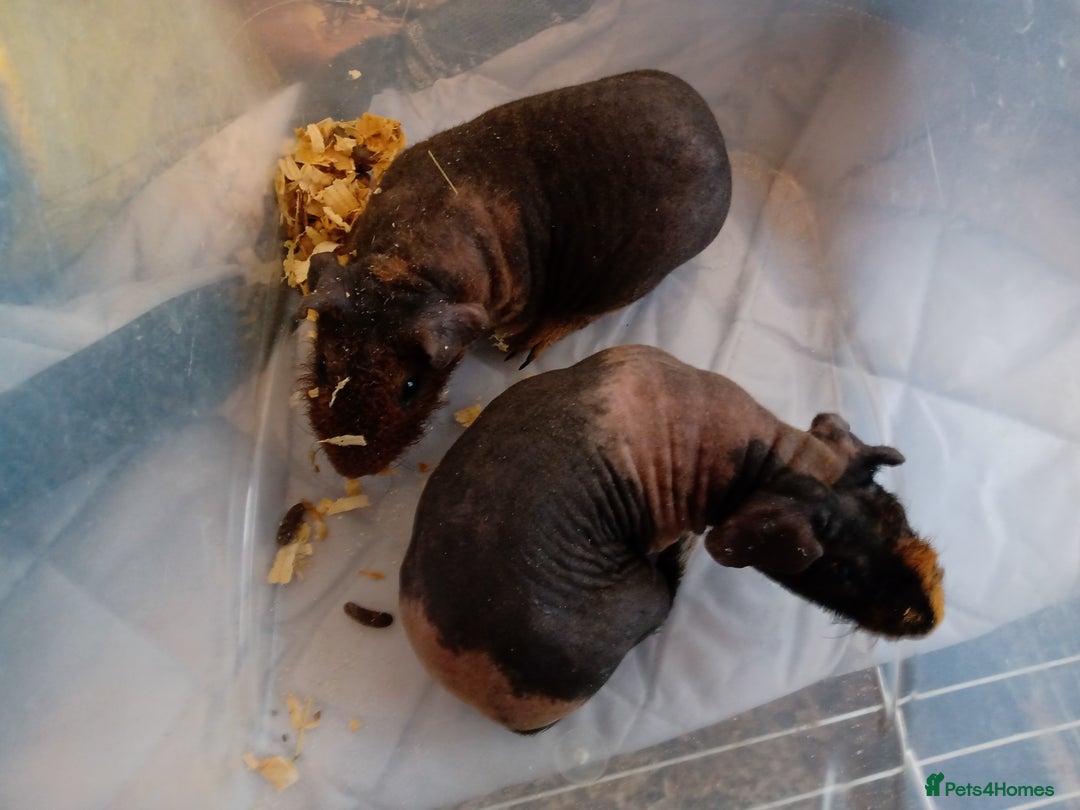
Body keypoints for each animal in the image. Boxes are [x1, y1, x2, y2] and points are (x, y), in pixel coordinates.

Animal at [301, 70, 732, 477]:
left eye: (410, 387)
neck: (404, 266)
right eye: (321, 367)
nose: (350, 469)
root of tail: (719, 142)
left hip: (627, 283)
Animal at [399, 345, 943, 733]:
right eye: (836, 569)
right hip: (639, 597)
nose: (929, 618)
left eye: (898, 515)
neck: (771, 458)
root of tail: (488, 709)